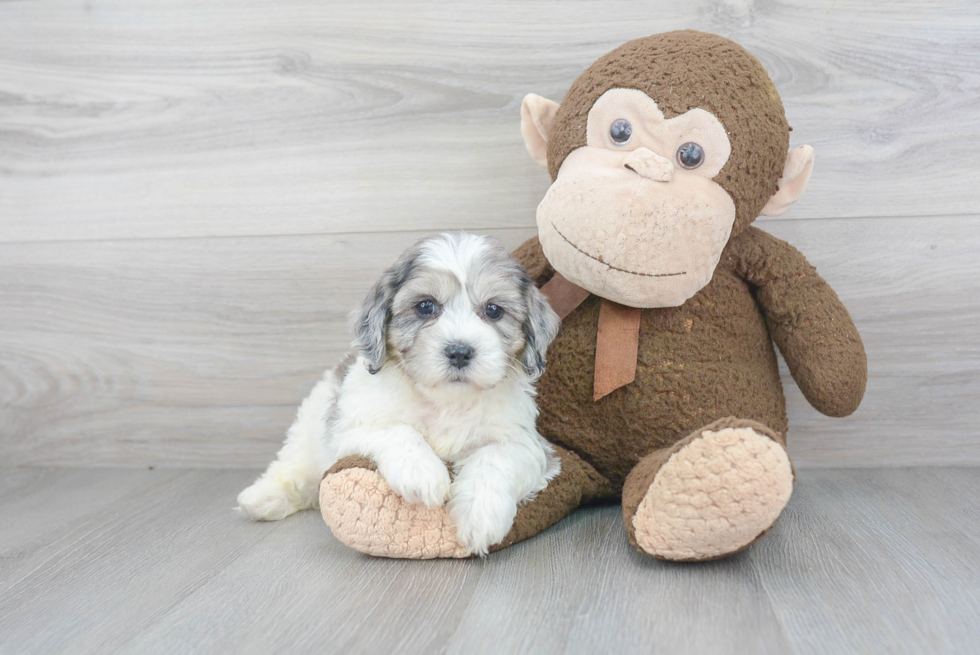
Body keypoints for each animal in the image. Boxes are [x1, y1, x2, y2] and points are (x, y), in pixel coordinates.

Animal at [235, 233, 560, 556]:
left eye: (493, 310)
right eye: (425, 306)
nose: (459, 351)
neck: (446, 401)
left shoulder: (524, 441)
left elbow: (496, 457)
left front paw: (480, 516)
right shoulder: (352, 425)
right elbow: (398, 430)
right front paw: (422, 473)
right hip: (310, 424)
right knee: (292, 466)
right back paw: (262, 498)